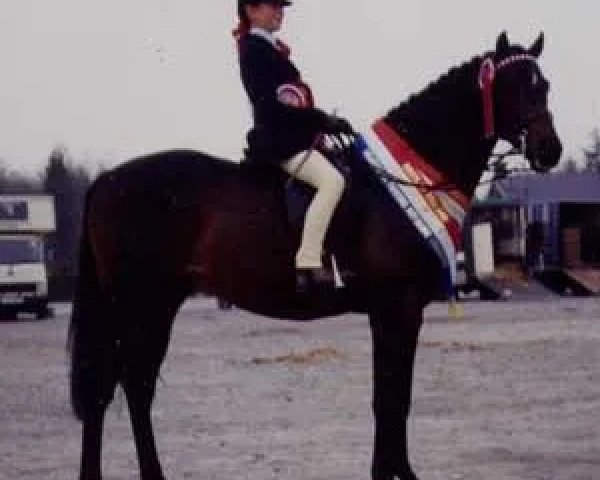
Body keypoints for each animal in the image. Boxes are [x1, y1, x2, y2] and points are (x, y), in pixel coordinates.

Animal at [69, 31, 564, 478]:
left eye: (544, 85)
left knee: (115, 387)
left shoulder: (396, 311)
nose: (550, 150)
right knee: (130, 385)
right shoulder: (396, 307)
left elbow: (392, 395)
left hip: (153, 303)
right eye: (514, 86)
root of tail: (107, 179)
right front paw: (395, 474)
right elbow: (391, 396)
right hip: (142, 304)